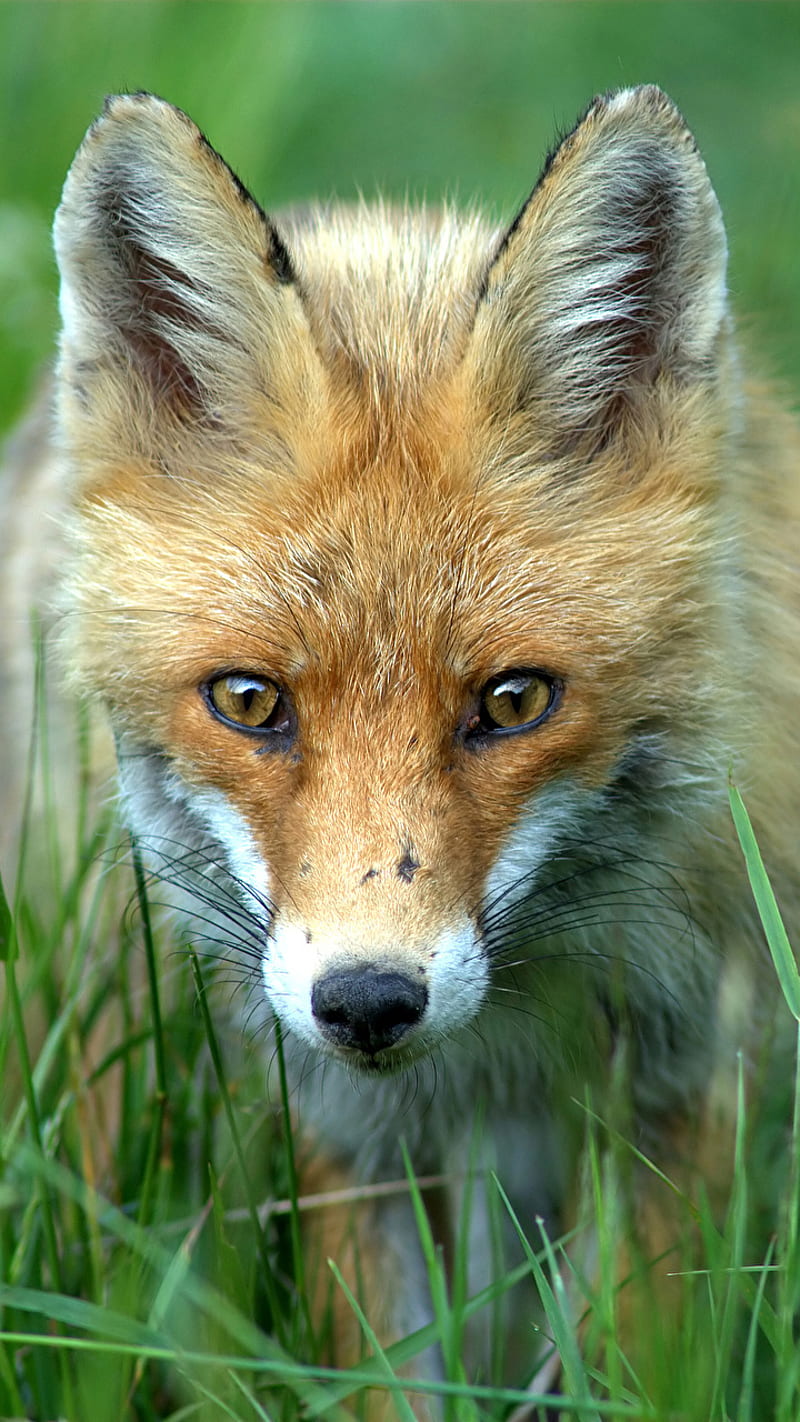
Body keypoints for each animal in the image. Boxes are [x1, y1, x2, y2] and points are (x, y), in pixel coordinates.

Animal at [1, 86, 800, 1410]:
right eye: (249, 702)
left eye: (514, 702)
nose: (367, 1001)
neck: (501, 1058)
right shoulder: (341, 1132)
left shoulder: (683, 1088)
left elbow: (628, 1362)